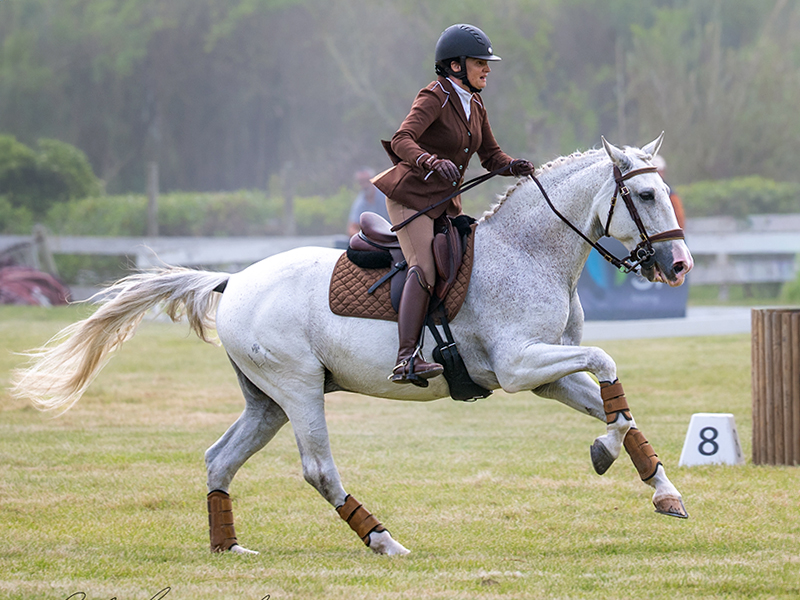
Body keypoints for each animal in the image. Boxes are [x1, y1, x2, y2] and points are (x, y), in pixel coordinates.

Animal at [11, 134, 693, 556]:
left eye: (666, 192)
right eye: (646, 195)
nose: (680, 265)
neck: (529, 254)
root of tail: (233, 281)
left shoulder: (547, 374)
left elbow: (617, 406)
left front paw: (660, 488)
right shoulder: (520, 366)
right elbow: (608, 364)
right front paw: (606, 455)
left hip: (266, 401)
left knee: (219, 459)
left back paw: (229, 546)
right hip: (298, 389)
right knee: (317, 469)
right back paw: (384, 540)